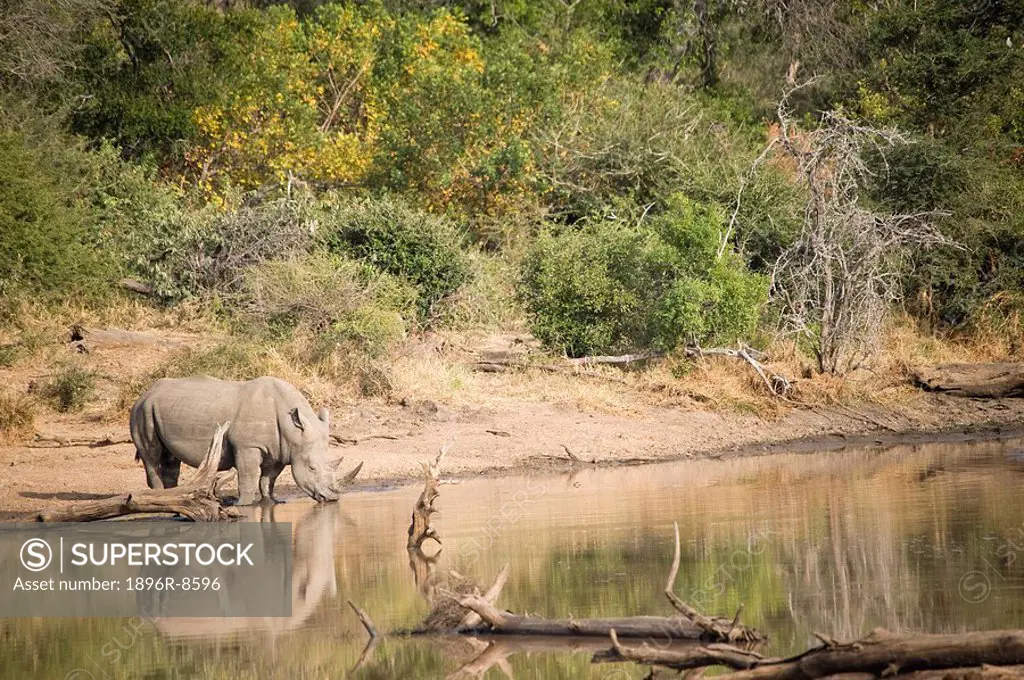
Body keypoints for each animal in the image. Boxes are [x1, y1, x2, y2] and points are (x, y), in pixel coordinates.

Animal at [130, 376, 337, 503]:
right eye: (312, 468)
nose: (332, 498)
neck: (291, 430)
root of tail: (146, 392)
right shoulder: (248, 446)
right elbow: (248, 477)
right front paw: (244, 504)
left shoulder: (280, 450)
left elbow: (268, 479)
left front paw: (271, 501)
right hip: (142, 410)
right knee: (152, 457)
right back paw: (158, 500)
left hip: (161, 409)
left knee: (170, 461)